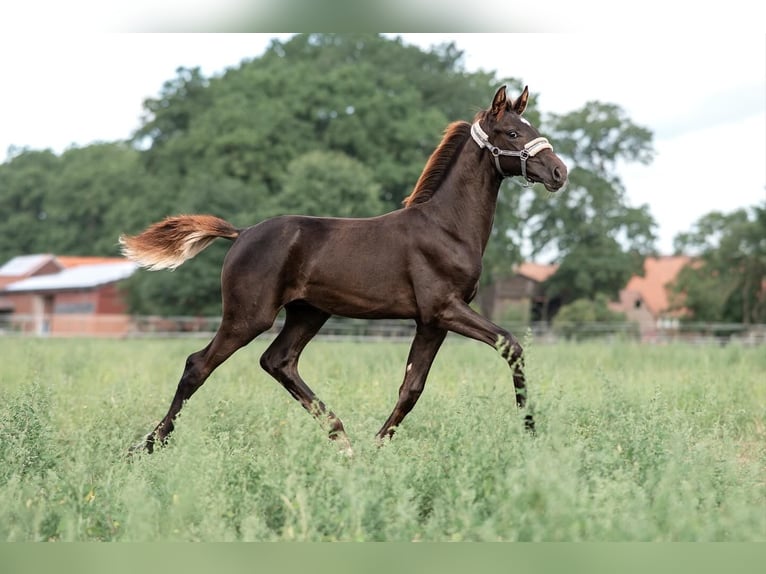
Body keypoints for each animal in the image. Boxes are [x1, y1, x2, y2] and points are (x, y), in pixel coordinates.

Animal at [120, 85, 568, 455]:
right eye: (512, 133)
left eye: (531, 127)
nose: (559, 172)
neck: (447, 226)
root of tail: (242, 233)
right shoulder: (445, 308)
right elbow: (511, 345)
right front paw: (530, 431)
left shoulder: (431, 321)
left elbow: (411, 387)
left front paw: (376, 450)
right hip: (249, 316)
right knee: (198, 365)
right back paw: (146, 446)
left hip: (309, 312)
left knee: (278, 361)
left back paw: (344, 440)